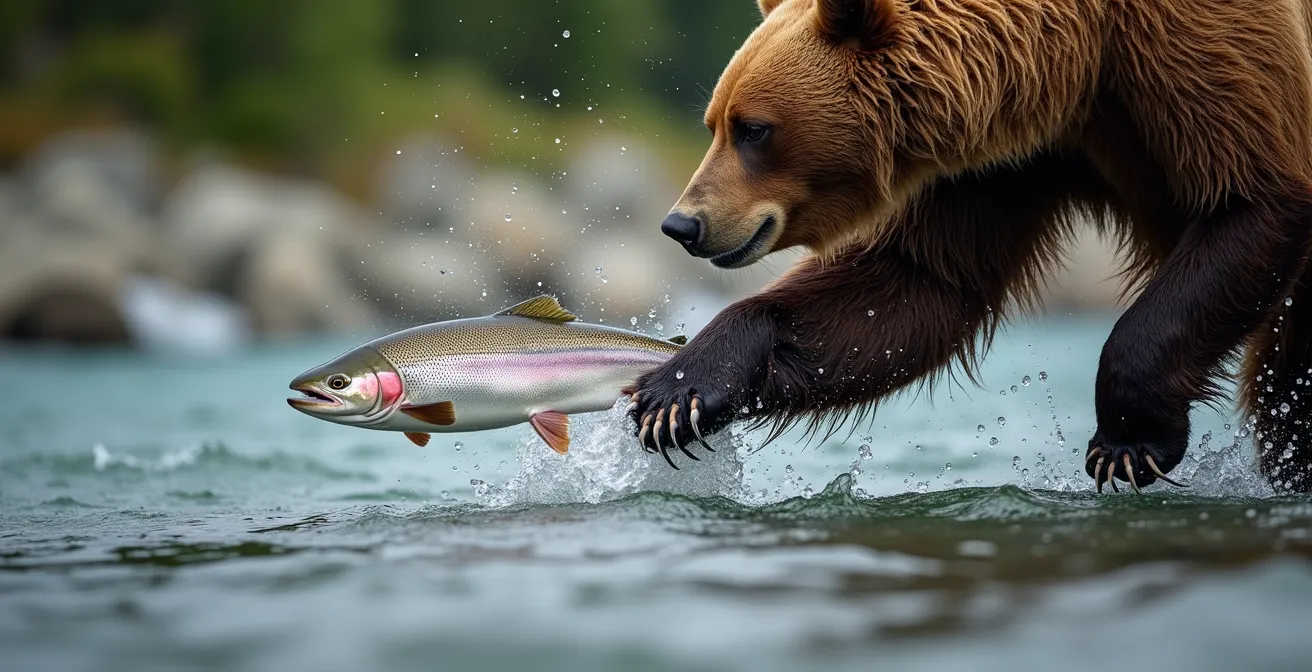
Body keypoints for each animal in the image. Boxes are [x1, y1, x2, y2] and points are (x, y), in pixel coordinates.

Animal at [626, 0, 1312, 493]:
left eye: (754, 130)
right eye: (714, 123)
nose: (682, 224)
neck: (1082, 53)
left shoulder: (1198, 52)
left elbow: (1251, 197)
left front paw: (1126, 443)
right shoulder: (1008, 157)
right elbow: (914, 282)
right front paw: (677, 391)